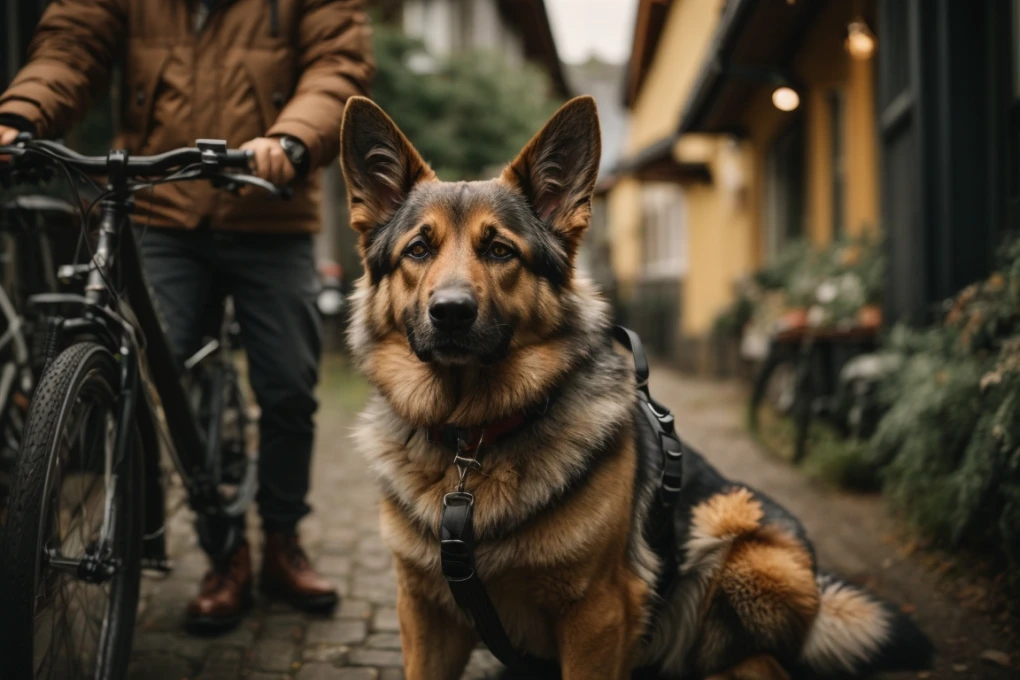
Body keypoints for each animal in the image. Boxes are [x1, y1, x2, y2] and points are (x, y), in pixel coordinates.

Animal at [340, 95, 934, 680]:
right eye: (418, 250)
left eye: (501, 251)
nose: (451, 313)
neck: (472, 440)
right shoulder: (424, 614)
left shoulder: (598, 615)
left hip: (737, 531)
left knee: (756, 661)